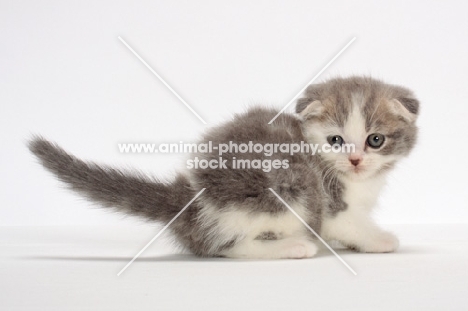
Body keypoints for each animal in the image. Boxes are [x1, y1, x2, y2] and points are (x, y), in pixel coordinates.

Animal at [27, 77, 418, 260]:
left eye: (375, 140)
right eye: (335, 140)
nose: (355, 160)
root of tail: (189, 197)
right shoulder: (331, 202)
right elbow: (351, 223)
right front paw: (379, 239)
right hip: (288, 188)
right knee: (227, 246)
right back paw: (293, 246)